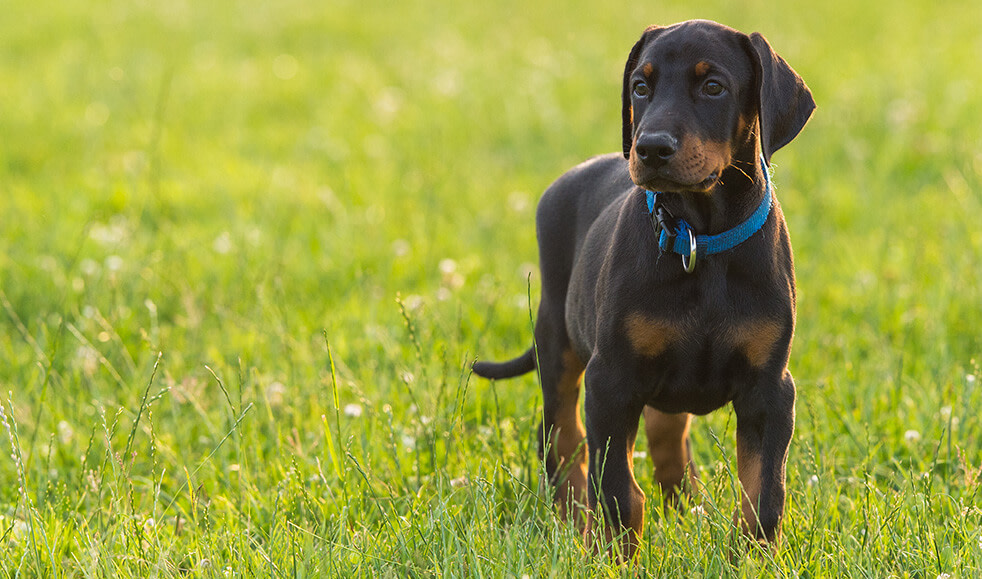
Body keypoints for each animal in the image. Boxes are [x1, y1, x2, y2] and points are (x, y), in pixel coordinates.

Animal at [472, 20, 820, 560]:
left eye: (713, 86)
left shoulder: (770, 388)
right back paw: (575, 529)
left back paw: (686, 508)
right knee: (564, 443)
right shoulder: (611, 379)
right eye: (640, 86)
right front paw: (615, 557)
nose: (651, 148)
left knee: (666, 436)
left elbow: (764, 492)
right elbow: (617, 487)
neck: (699, 237)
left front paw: (754, 558)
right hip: (558, 345)